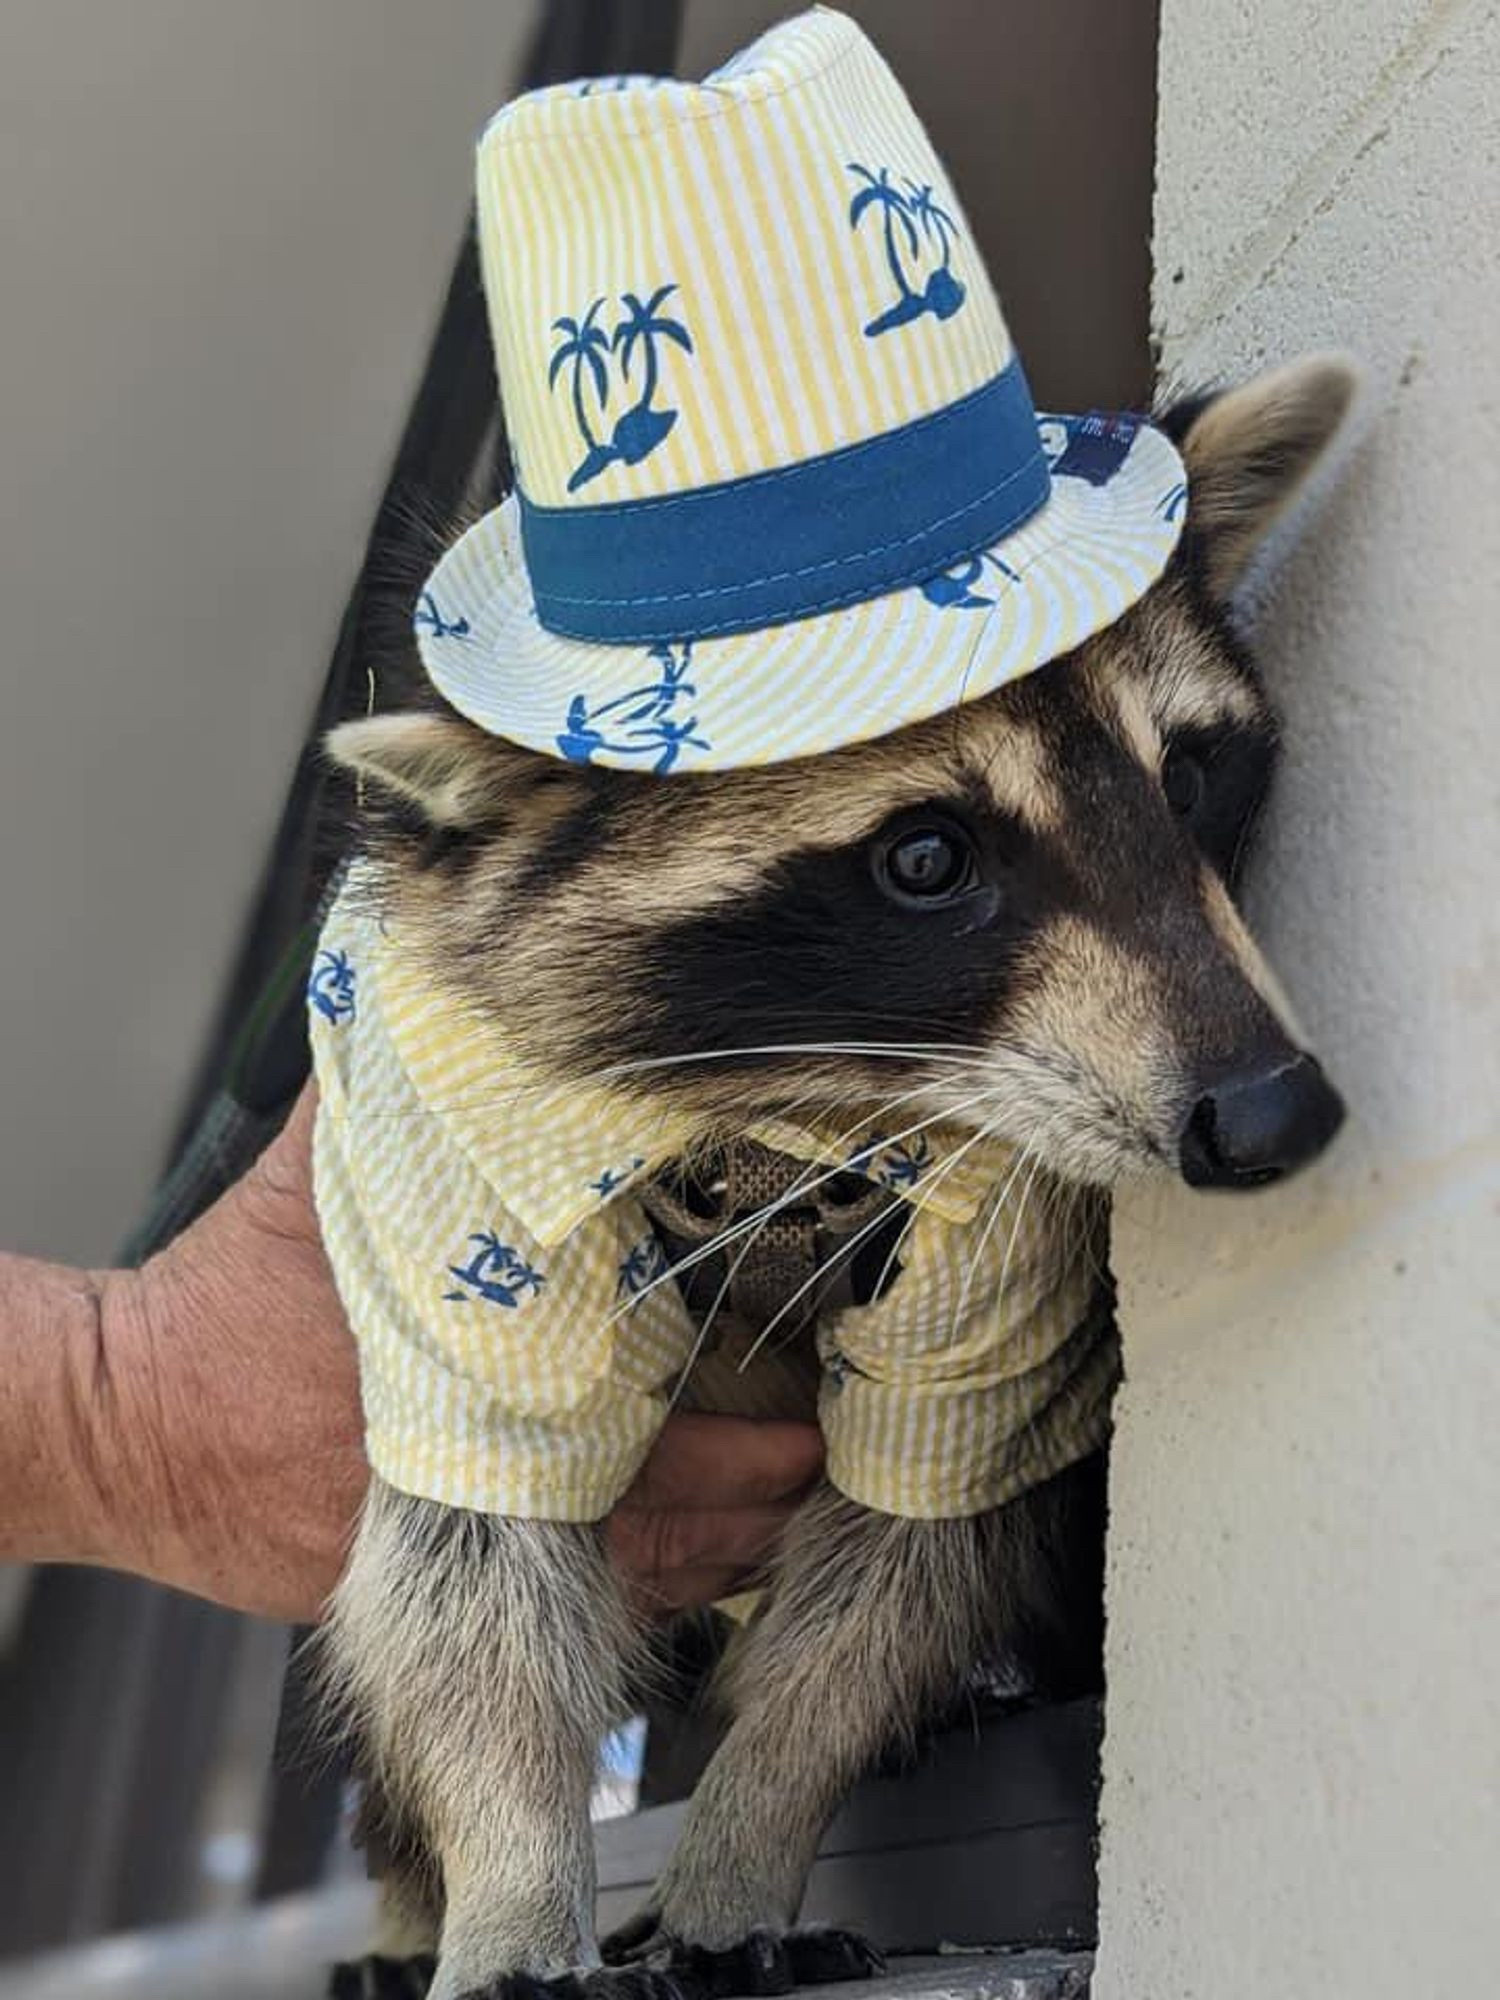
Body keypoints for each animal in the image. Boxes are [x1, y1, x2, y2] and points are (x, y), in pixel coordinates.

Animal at [318, 360, 1360, 2000]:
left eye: (1189, 774)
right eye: (928, 860)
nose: (1271, 1111)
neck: (805, 1108)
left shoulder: (1004, 1248)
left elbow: (906, 1560)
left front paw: (750, 1828)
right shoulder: (450, 1166)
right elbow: (464, 1566)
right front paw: (505, 1876)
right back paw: (406, 1893)